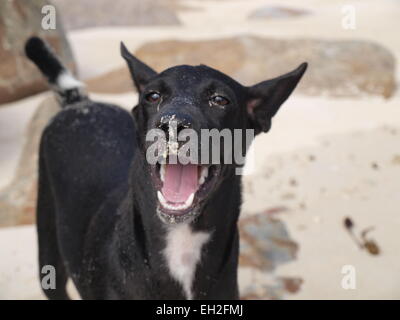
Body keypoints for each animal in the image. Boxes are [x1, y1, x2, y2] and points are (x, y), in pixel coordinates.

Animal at [25, 37, 306, 300]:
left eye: (220, 100)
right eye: (152, 96)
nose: (172, 123)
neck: (182, 243)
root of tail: (79, 104)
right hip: (48, 256)